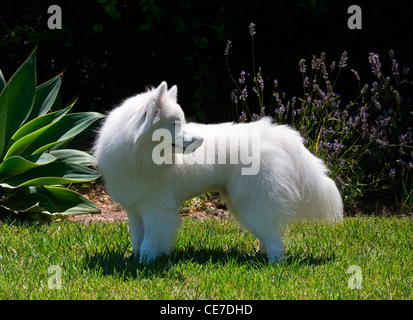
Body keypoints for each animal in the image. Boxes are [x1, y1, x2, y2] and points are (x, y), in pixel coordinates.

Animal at [93, 82, 342, 262]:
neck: (138, 154)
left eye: (181, 122)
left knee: (275, 241)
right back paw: (260, 254)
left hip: (251, 204)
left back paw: (274, 263)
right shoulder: (135, 210)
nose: (199, 140)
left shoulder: (157, 209)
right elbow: (137, 238)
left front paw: (146, 262)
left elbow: (149, 240)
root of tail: (275, 134)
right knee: (269, 232)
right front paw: (135, 260)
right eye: (174, 124)